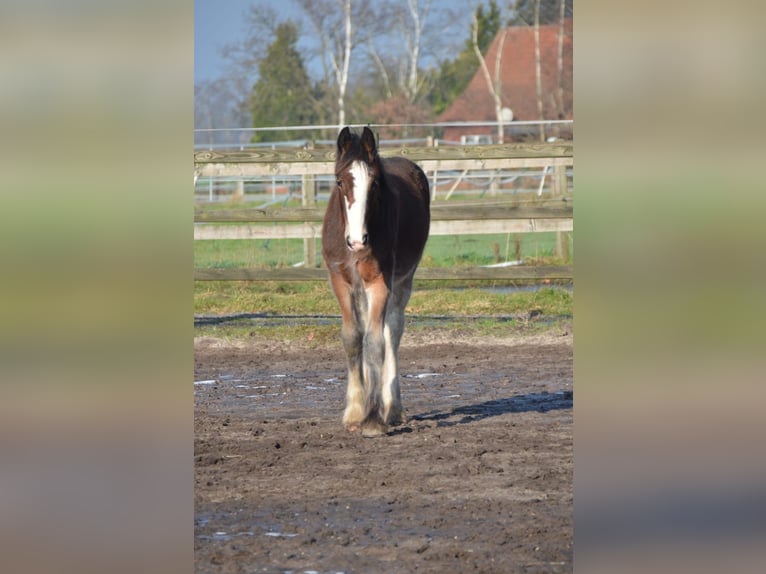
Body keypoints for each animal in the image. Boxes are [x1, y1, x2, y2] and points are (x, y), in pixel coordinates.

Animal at [320, 126, 432, 438]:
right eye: (340, 181)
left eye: (375, 184)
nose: (358, 240)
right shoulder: (341, 281)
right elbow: (352, 338)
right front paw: (355, 412)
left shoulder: (380, 282)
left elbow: (374, 342)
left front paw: (371, 419)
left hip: (403, 280)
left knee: (391, 330)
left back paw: (391, 408)